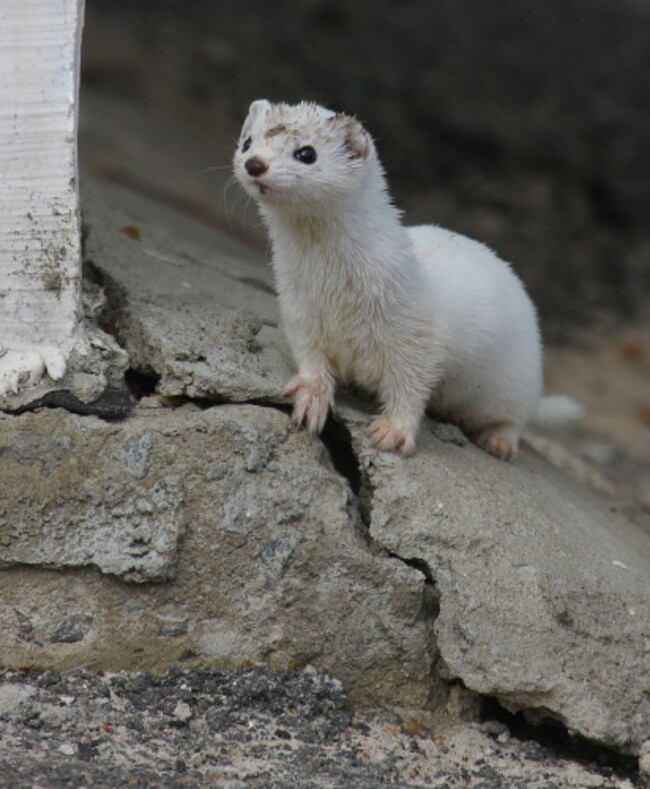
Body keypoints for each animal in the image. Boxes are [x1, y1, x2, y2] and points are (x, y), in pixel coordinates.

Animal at [230, 99, 580, 458]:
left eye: (306, 153)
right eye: (247, 143)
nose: (255, 164)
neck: (332, 290)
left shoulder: (417, 332)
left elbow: (410, 384)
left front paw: (394, 431)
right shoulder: (299, 311)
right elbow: (311, 359)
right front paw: (312, 398)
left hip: (513, 379)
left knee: (515, 417)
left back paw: (499, 441)